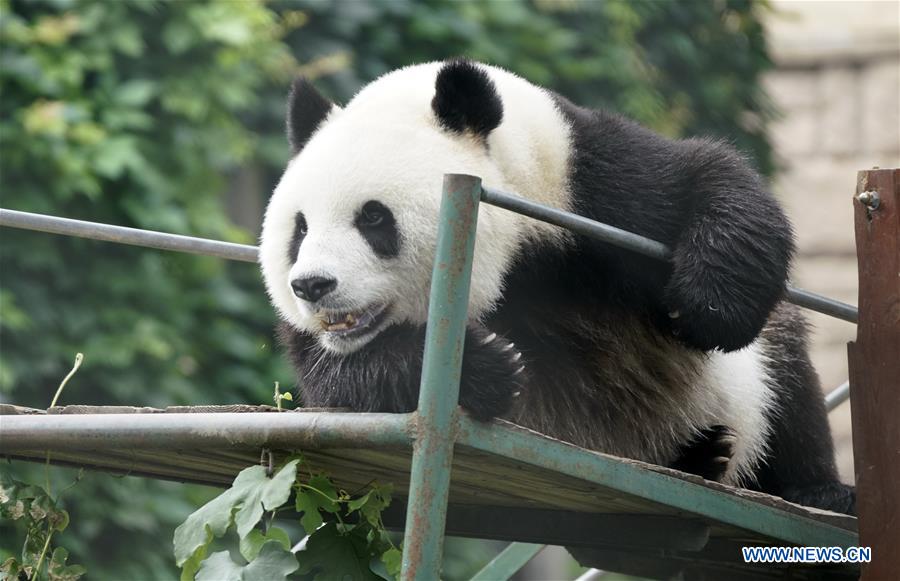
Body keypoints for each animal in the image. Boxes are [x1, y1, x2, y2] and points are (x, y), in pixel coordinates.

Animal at [262, 59, 856, 512]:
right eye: (300, 228)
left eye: (373, 218)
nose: (312, 285)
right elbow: (338, 377)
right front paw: (487, 365)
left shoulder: (584, 178)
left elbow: (703, 176)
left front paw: (708, 307)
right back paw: (699, 456)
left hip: (744, 389)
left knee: (786, 383)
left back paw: (815, 489)